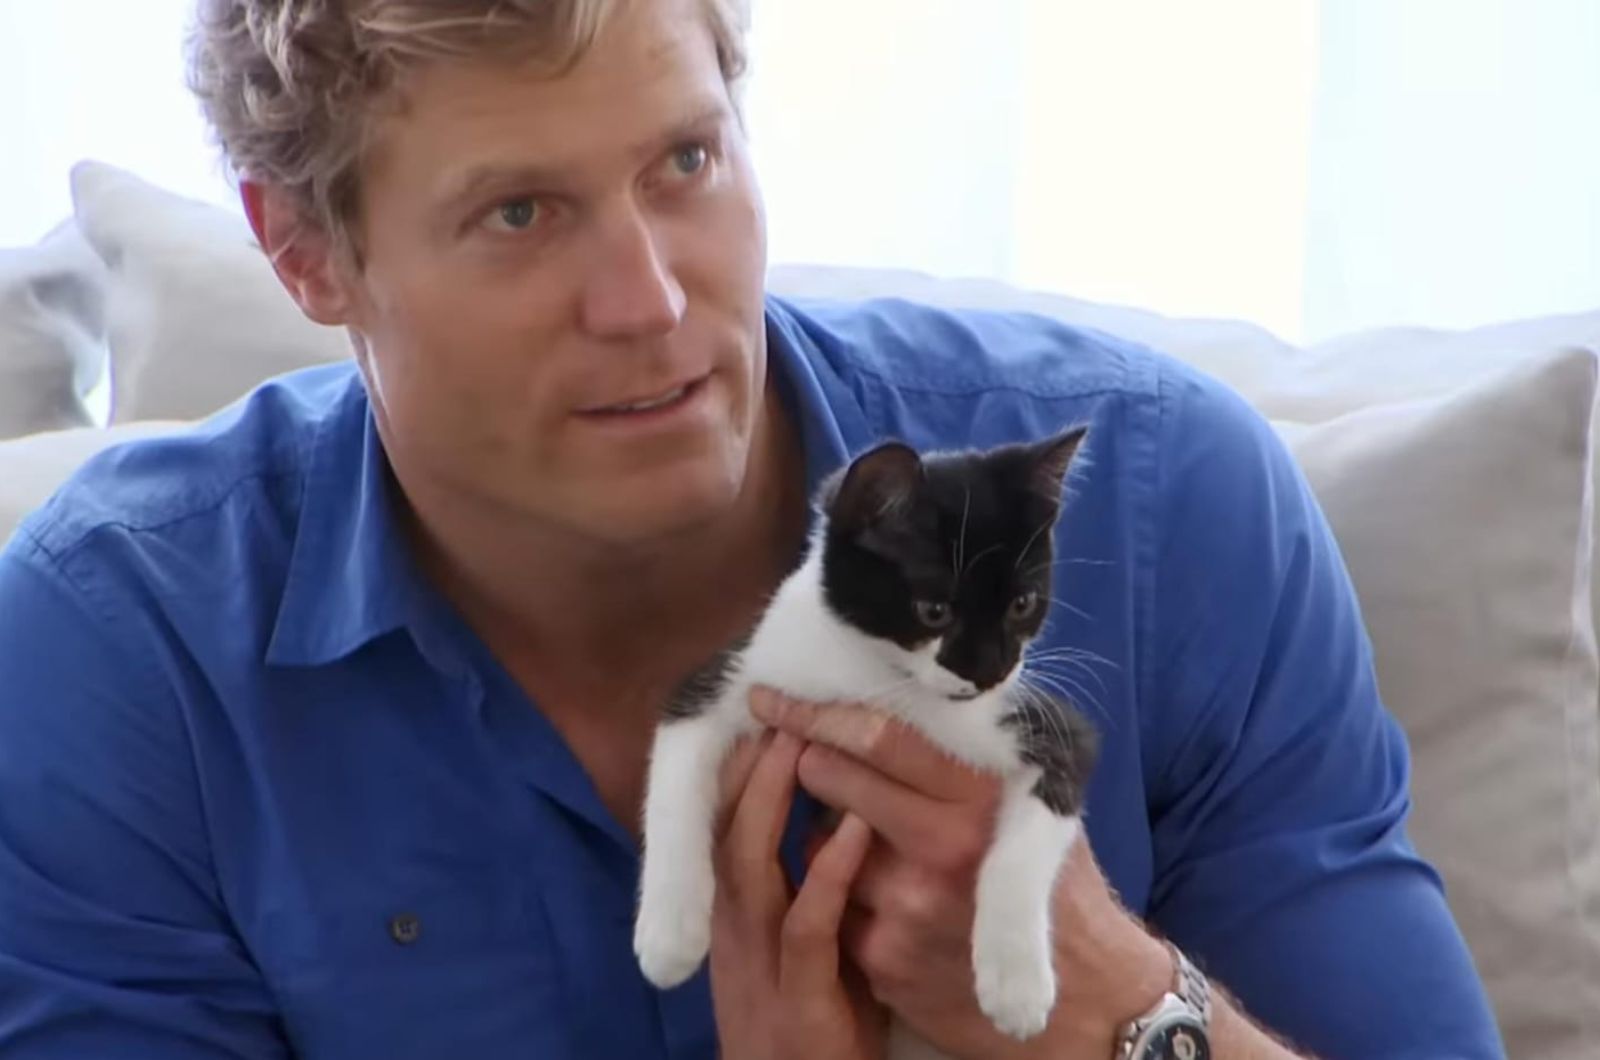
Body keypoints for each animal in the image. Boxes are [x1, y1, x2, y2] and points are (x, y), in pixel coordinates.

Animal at [633, 425, 1100, 1056]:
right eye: (934, 610)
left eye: (1022, 604)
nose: (987, 673)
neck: (881, 676)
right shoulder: (739, 671)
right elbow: (674, 777)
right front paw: (668, 933)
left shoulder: (1048, 723)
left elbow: (1033, 833)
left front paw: (1016, 984)